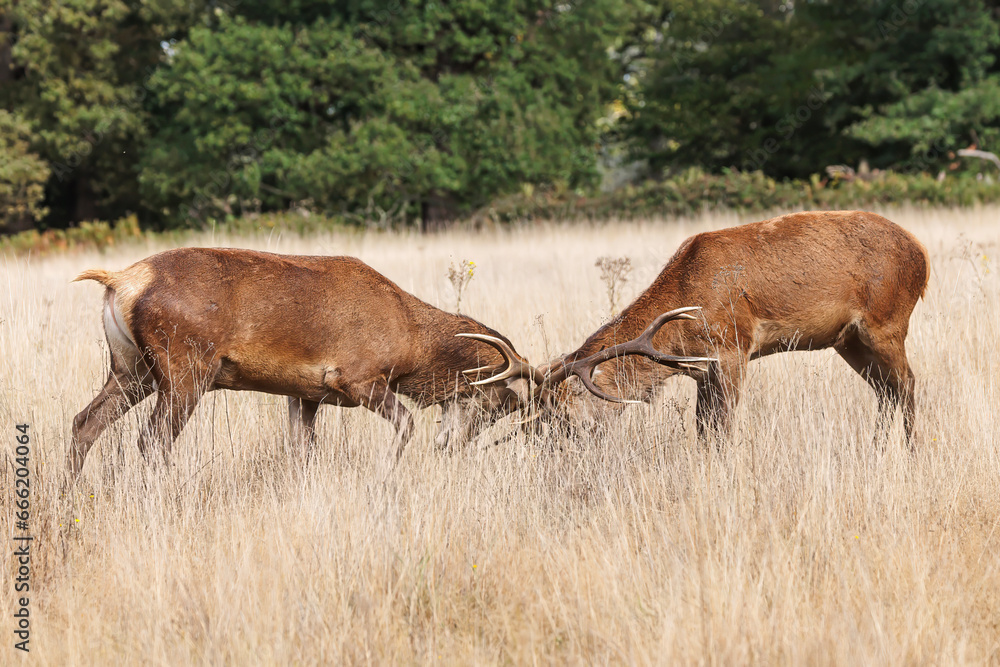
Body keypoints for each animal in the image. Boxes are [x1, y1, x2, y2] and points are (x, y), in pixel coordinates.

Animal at [462, 210, 930, 445]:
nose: (549, 449)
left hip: (887, 321)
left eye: (561, 418)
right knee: (885, 390)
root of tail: (922, 254)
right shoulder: (701, 369)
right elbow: (702, 429)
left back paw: (911, 451)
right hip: (847, 340)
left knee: (907, 385)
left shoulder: (735, 348)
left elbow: (723, 427)